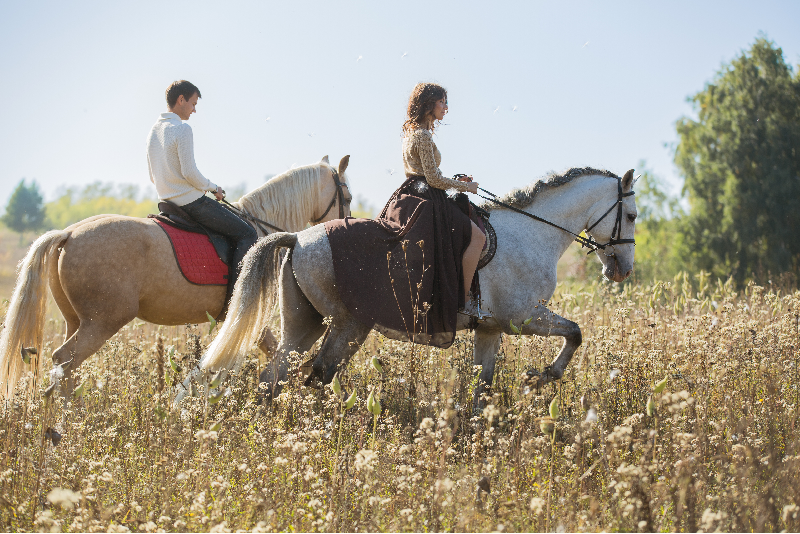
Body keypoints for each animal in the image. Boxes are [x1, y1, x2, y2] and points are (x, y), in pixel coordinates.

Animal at [0, 155, 352, 398]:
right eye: (346, 198)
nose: (344, 229)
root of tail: (69, 234)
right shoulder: (253, 315)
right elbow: (276, 353)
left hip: (77, 321)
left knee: (64, 368)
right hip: (102, 322)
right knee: (64, 361)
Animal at [194, 170, 636, 412]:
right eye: (631, 215)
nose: (623, 270)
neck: (533, 231)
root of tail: (298, 238)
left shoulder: (491, 328)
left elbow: (482, 386)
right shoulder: (523, 317)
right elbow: (575, 332)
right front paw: (542, 375)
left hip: (306, 323)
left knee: (277, 375)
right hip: (349, 325)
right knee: (317, 373)